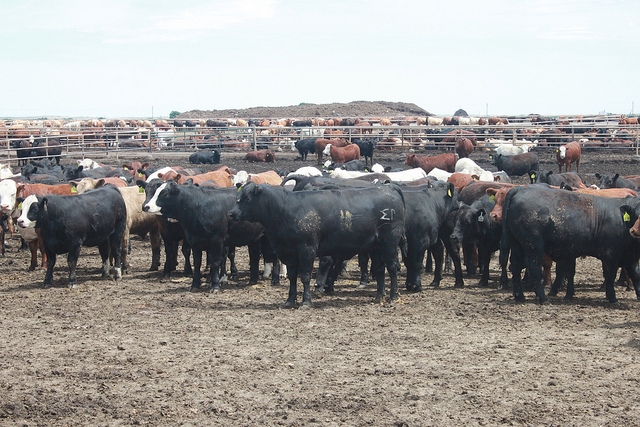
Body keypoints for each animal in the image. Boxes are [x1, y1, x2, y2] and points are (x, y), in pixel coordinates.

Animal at [228, 183, 406, 307]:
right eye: (238, 196)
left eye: (247, 198)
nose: (231, 213)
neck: (286, 209)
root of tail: (389, 187)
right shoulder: (288, 253)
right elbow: (292, 277)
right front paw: (290, 301)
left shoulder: (307, 250)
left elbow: (305, 276)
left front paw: (306, 302)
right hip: (376, 247)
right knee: (379, 269)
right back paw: (379, 296)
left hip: (390, 242)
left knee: (392, 267)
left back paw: (393, 296)